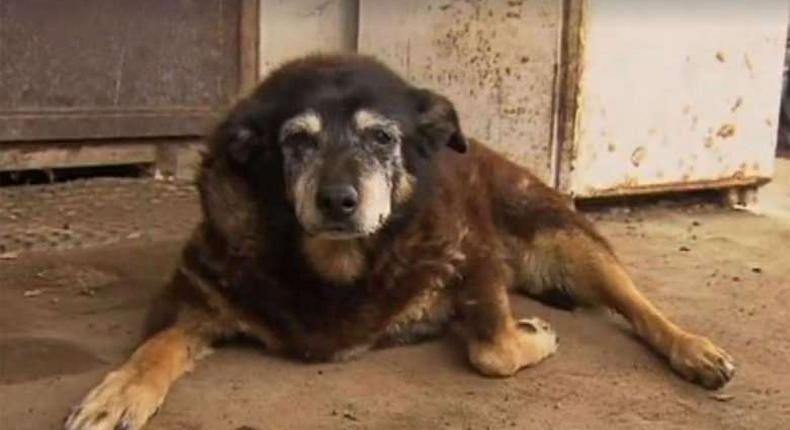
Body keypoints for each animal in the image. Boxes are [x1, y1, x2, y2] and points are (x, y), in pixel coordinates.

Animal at [65, 55, 740, 428]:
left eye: (382, 138)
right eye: (296, 141)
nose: (338, 201)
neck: (338, 268)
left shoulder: (473, 255)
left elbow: (493, 350)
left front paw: (531, 335)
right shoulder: (197, 298)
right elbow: (155, 349)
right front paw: (117, 393)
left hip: (565, 236)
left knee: (638, 304)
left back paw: (695, 351)